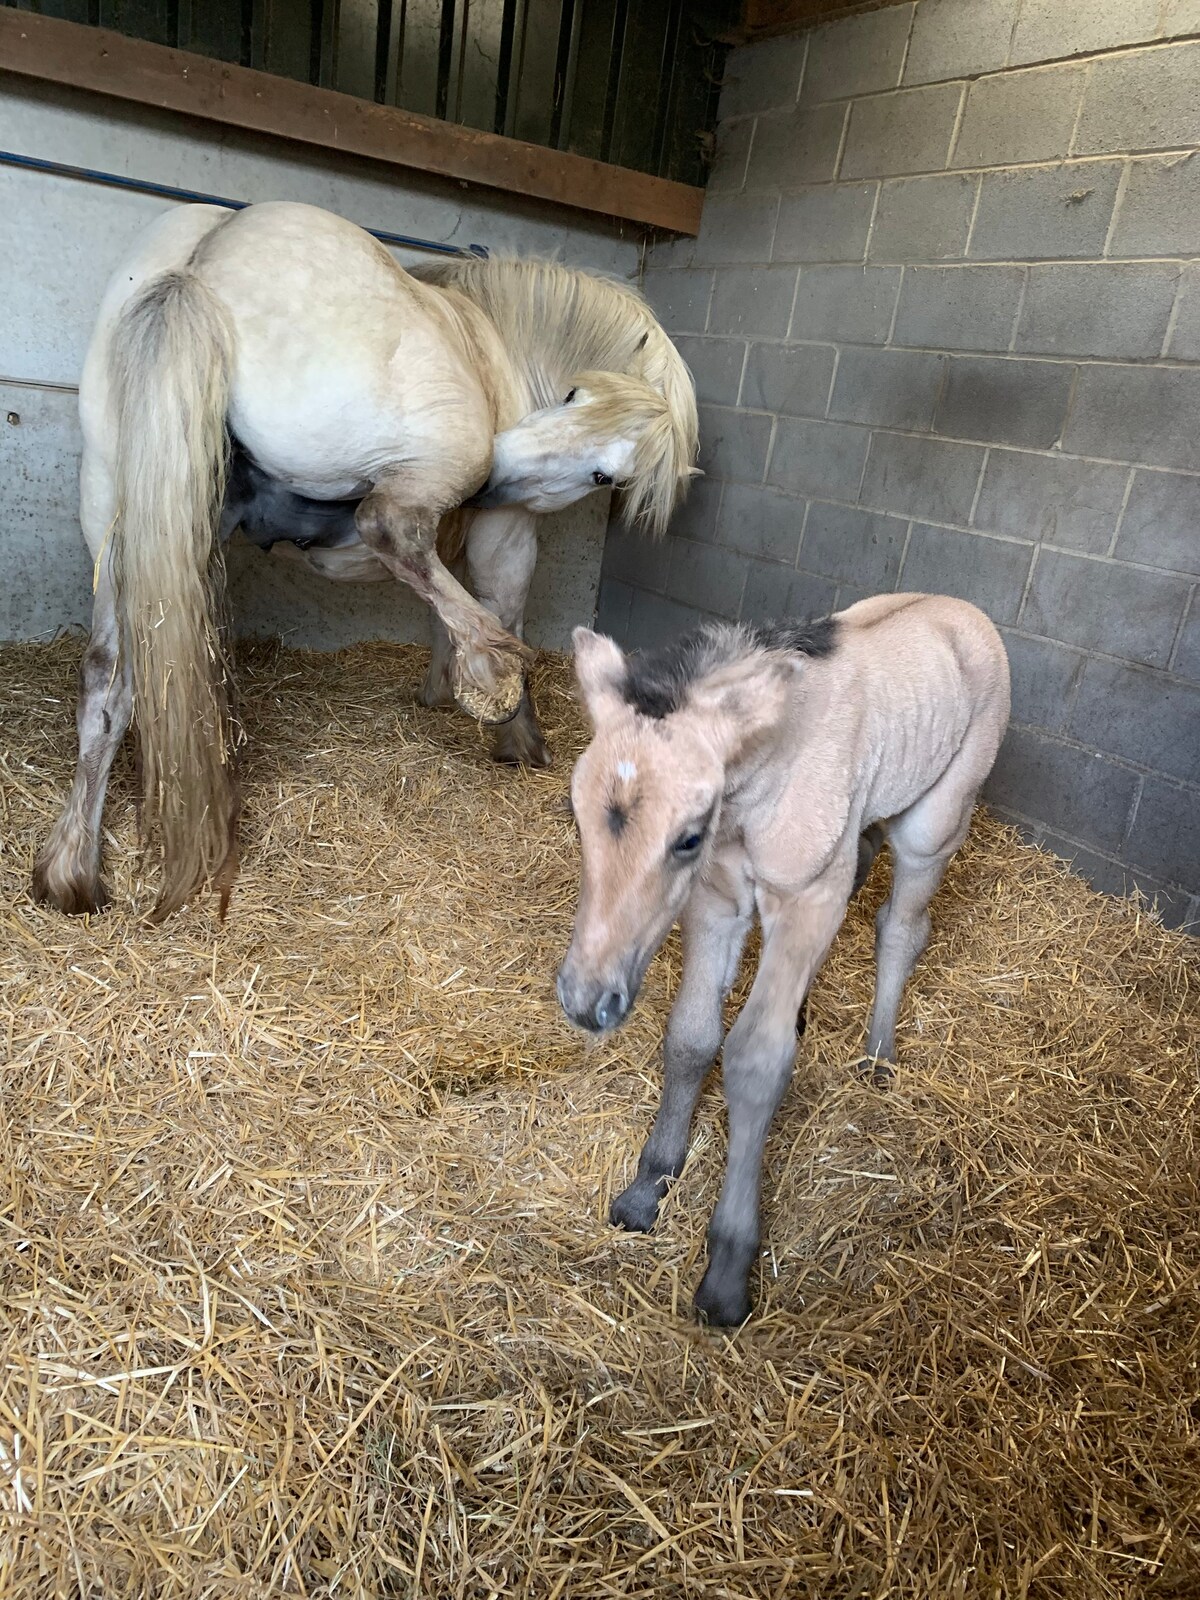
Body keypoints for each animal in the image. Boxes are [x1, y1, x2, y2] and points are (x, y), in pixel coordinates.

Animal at [560, 595, 1011, 1318]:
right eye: (574, 816)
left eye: (687, 837)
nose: (586, 1000)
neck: (762, 780)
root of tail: (965, 612)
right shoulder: (717, 899)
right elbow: (691, 1038)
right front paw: (648, 1188)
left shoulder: (805, 897)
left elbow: (754, 1060)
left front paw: (726, 1269)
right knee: (866, 861)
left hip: (935, 822)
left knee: (902, 924)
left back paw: (878, 1056)